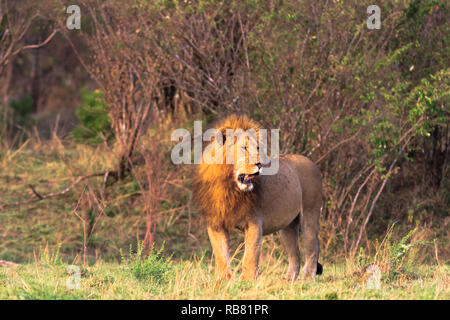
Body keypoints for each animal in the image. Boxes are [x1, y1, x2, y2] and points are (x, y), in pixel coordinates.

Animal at [193, 114, 324, 280]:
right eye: (243, 148)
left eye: (257, 148)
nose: (260, 164)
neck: (229, 187)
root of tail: (314, 164)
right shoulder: (216, 222)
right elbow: (221, 254)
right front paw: (224, 280)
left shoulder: (254, 221)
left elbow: (251, 253)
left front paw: (248, 280)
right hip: (287, 227)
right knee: (295, 254)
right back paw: (288, 280)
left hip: (309, 214)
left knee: (312, 248)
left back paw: (306, 278)